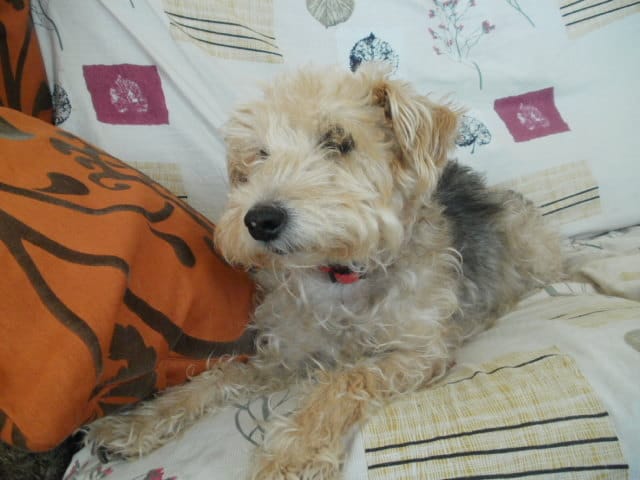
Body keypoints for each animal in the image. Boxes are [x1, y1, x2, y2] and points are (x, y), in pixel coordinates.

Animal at [85, 63, 562, 479]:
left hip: (536, 253)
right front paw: (136, 424)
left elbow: (345, 380)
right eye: (260, 154)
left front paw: (291, 454)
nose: (260, 220)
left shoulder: (418, 353)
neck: (340, 275)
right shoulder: (281, 357)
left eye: (339, 141)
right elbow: (221, 375)